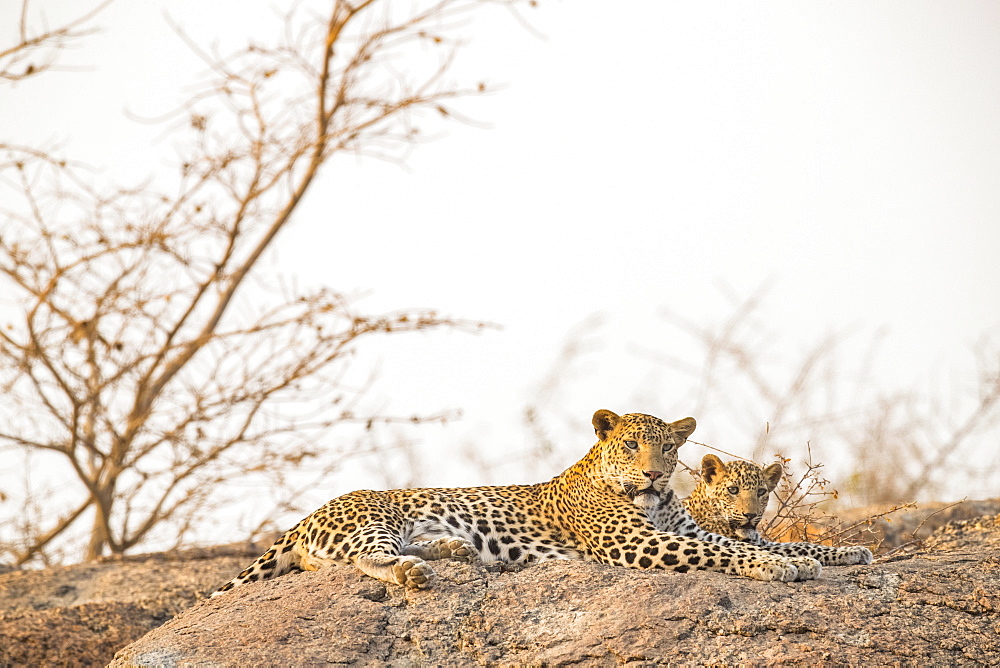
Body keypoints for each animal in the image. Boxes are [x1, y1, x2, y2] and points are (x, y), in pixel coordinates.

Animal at [213, 412, 820, 596]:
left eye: (669, 448)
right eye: (631, 445)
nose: (652, 472)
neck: (652, 501)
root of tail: (307, 517)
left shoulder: (685, 529)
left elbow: (742, 541)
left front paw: (807, 557)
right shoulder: (637, 543)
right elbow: (727, 552)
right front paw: (777, 567)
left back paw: (455, 553)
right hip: (375, 519)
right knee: (363, 558)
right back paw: (414, 572)